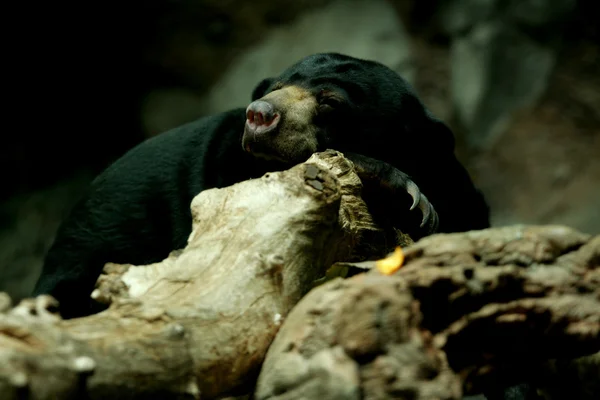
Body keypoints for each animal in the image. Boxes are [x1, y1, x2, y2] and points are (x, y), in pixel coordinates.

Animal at [32, 53, 490, 320]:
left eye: (330, 101)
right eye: (275, 88)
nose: (260, 114)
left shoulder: (455, 184)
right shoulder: (223, 169)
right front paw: (403, 191)